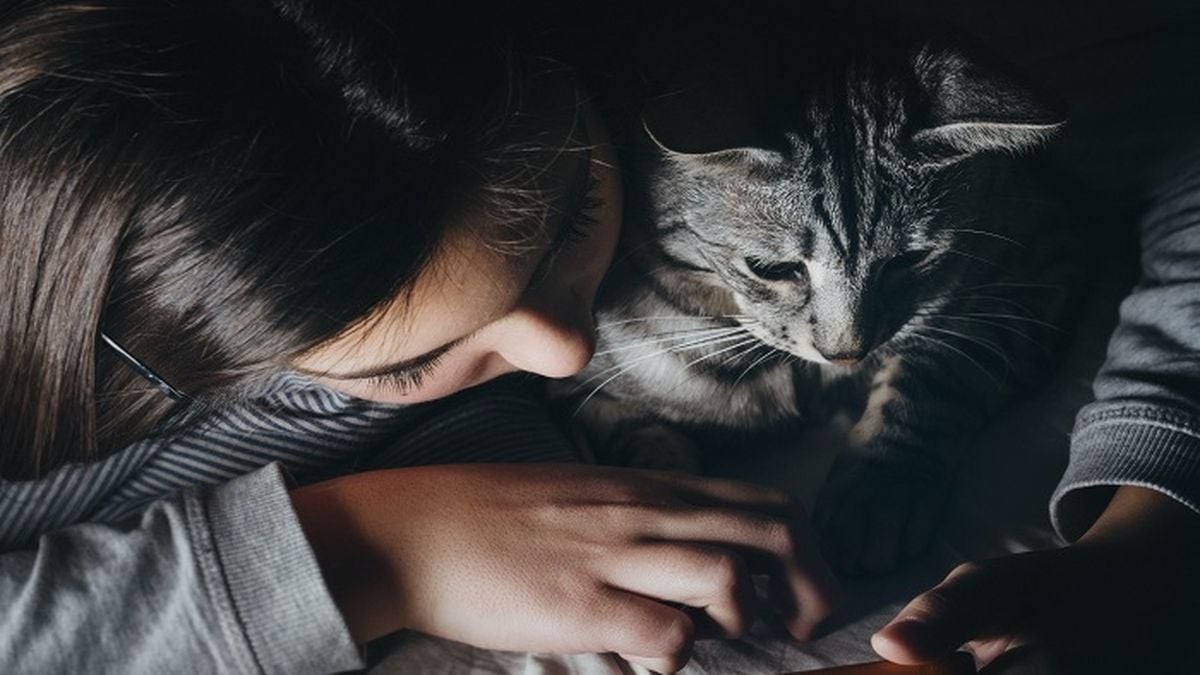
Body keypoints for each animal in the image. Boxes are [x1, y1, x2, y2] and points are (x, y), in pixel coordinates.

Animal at [549, 15, 1080, 571]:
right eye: (772, 269)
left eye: (909, 260)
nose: (846, 352)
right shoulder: (574, 388)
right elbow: (639, 447)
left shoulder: (1037, 268)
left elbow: (936, 374)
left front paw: (880, 490)